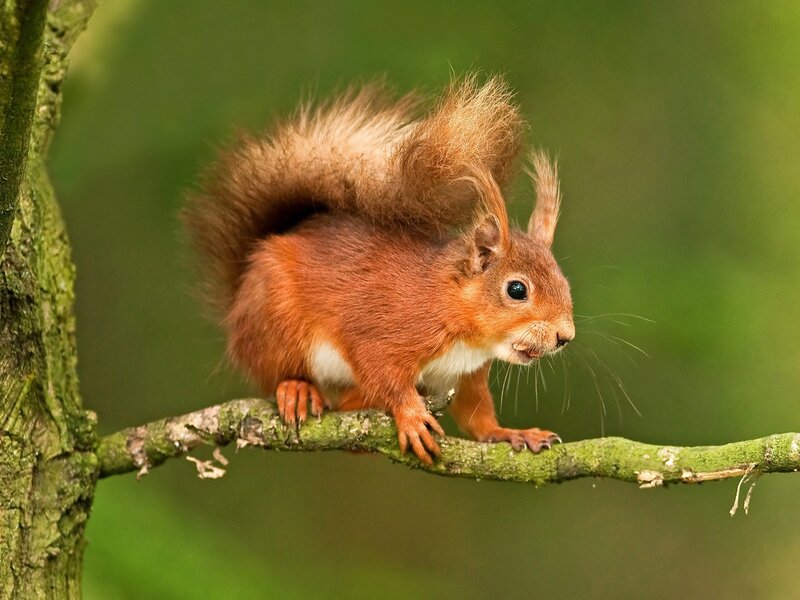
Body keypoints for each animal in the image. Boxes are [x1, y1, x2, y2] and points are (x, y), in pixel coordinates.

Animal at [184, 75, 575, 464]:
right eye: (517, 290)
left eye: (565, 284)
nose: (564, 336)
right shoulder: (386, 331)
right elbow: (382, 373)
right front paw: (411, 415)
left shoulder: (464, 376)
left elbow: (477, 417)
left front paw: (513, 433)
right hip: (275, 322)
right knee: (278, 373)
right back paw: (297, 388)